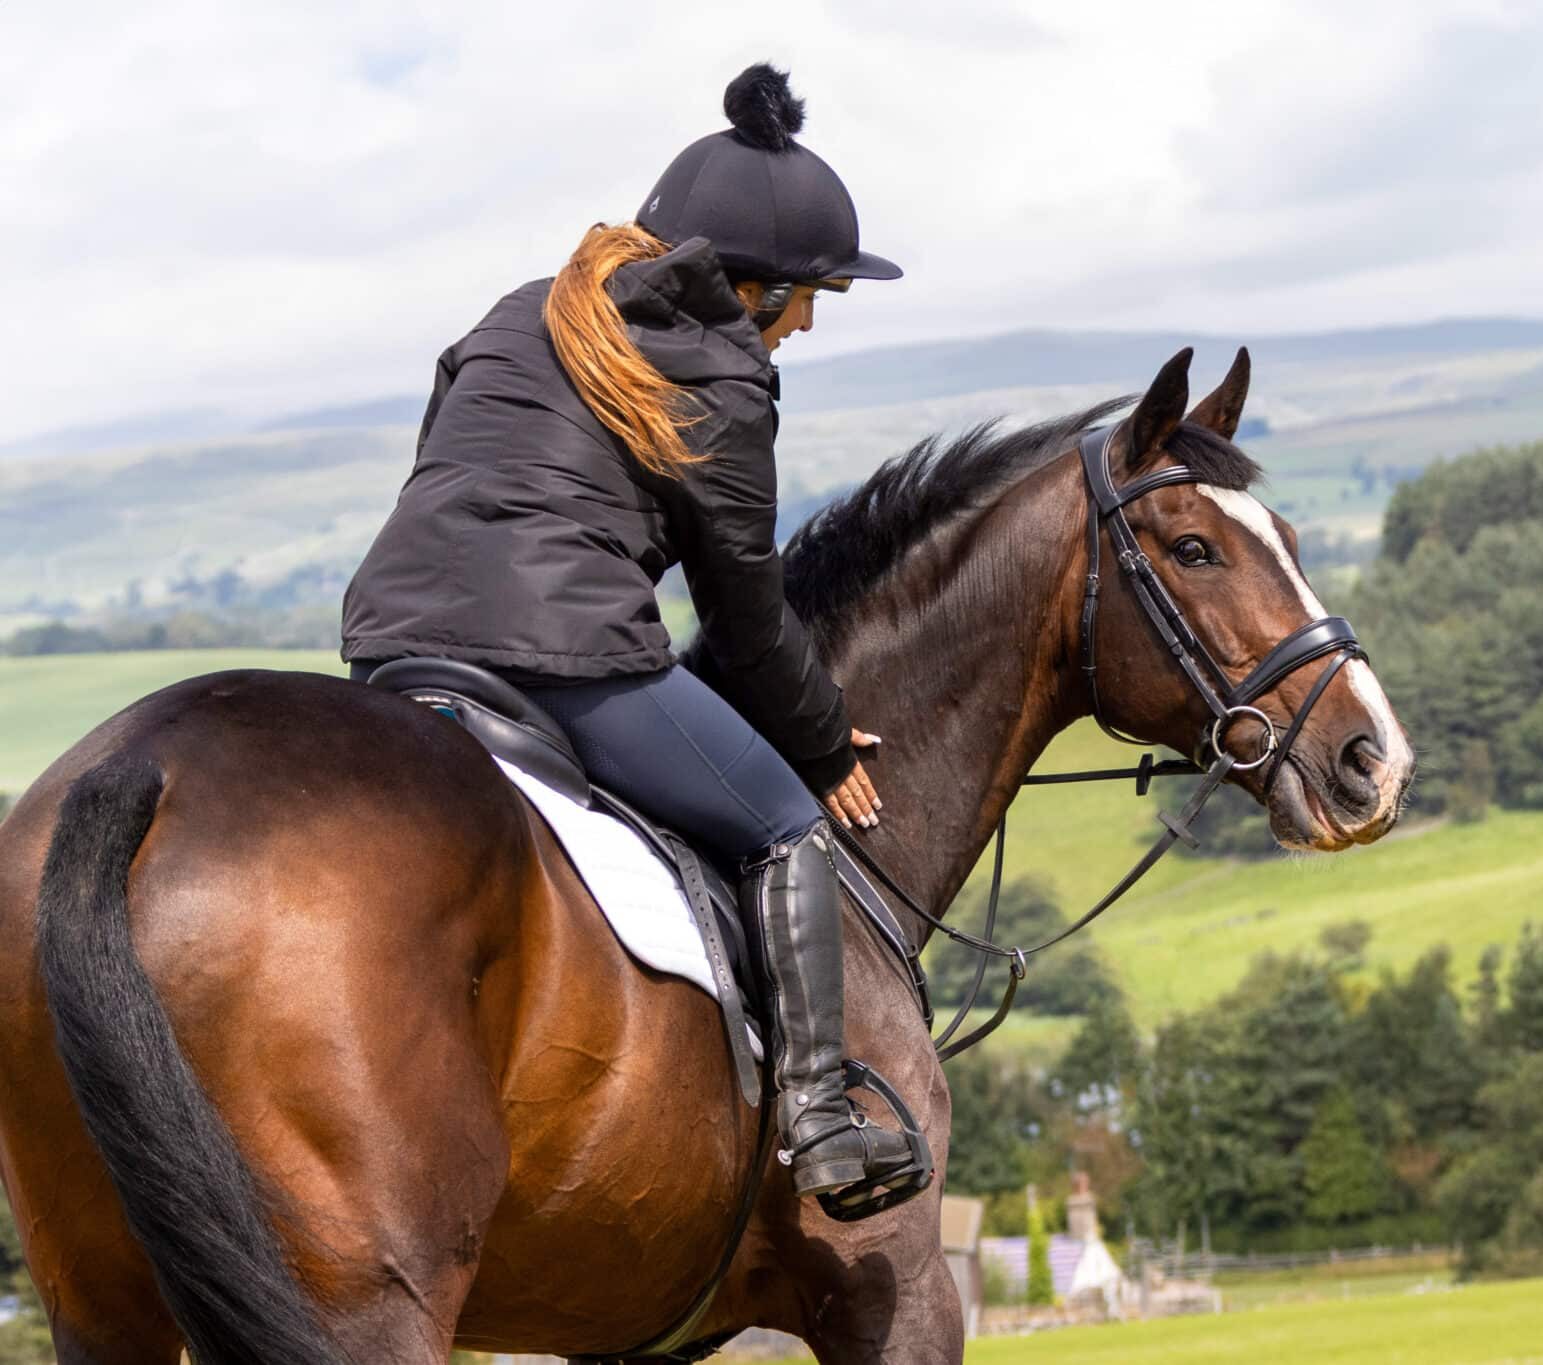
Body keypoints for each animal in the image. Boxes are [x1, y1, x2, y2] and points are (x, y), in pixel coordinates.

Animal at [0, 348, 1414, 1364]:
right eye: (1194, 548)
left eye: (1289, 535)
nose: (1371, 760)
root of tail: (141, 769)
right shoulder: (896, 1295)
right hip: (363, 1298)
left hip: (109, 1299)